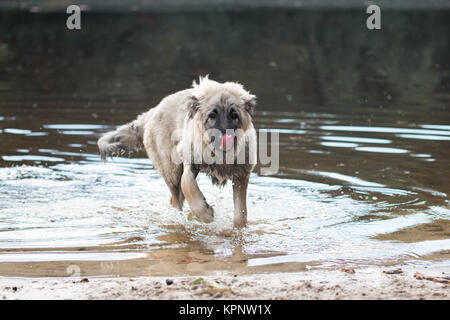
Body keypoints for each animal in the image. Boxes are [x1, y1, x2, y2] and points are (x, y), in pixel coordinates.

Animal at [97, 75, 256, 228]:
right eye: (212, 115)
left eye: (234, 115)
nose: (224, 136)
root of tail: (152, 112)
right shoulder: (188, 161)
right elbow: (189, 186)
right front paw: (206, 214)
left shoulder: (242, 175)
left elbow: (241, 213)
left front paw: (239, 228)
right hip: (171, 170)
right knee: (176, 199)